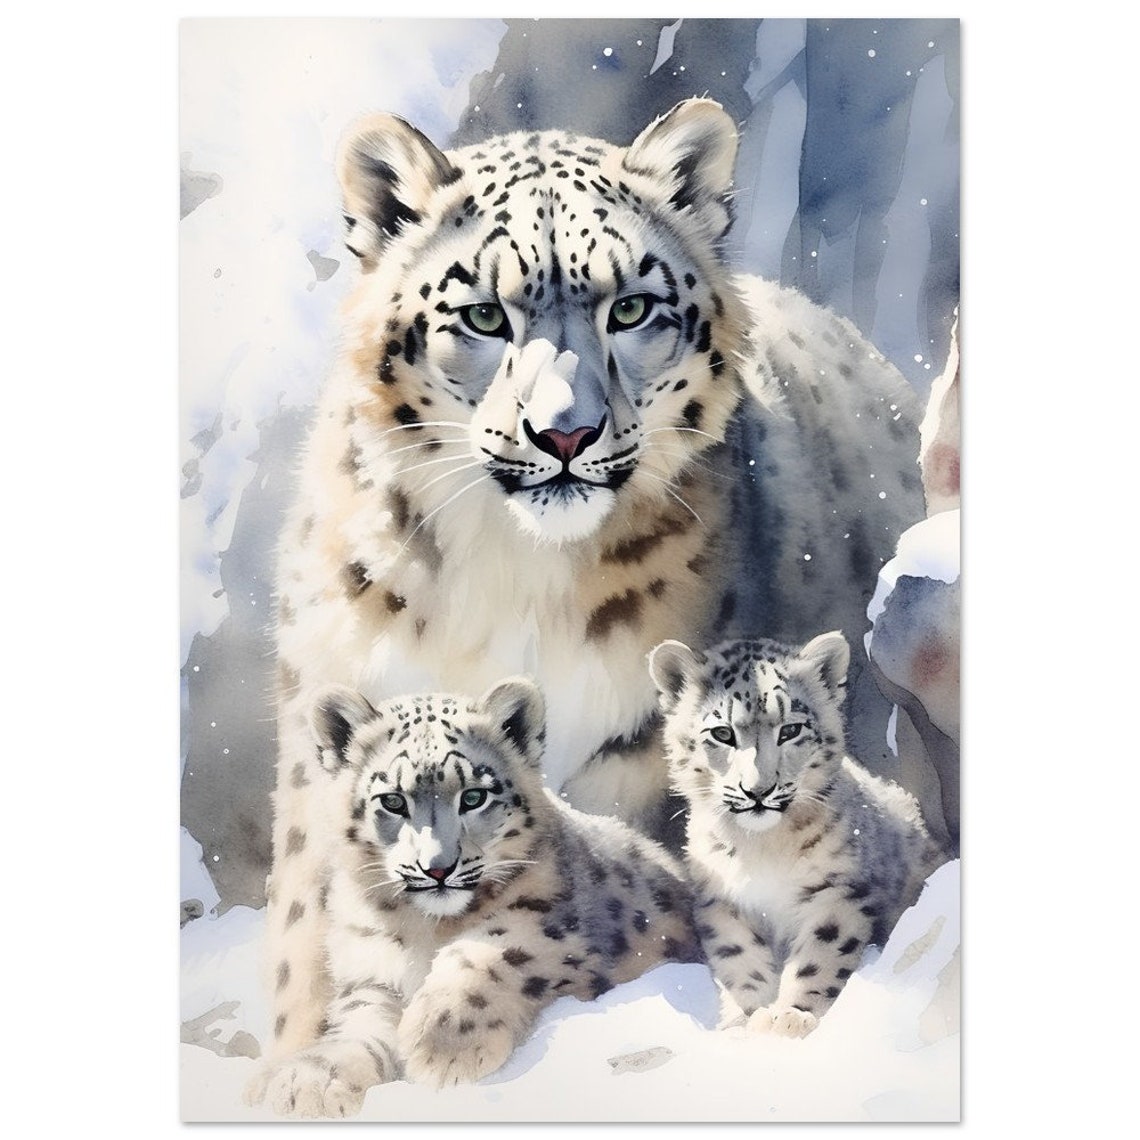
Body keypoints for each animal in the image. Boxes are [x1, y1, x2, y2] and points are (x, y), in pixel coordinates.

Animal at [245, 676, 699, 1117]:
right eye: (392, 800)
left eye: (474, 796)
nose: (437, 868)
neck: (422, 930)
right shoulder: (371, 973)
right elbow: (359, 1023)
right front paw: (312, 1082)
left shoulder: (551, 926)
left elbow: (491, 951)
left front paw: (444, 1043)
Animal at [649, 630, 944, 1038]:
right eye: (722, 733)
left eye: (790, 729)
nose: (757, 790)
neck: (761, 848)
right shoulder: (722, 900)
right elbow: (740, 959)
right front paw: (749, 1019)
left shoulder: (839, 890)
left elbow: (820, 955)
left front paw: (792, 1016)